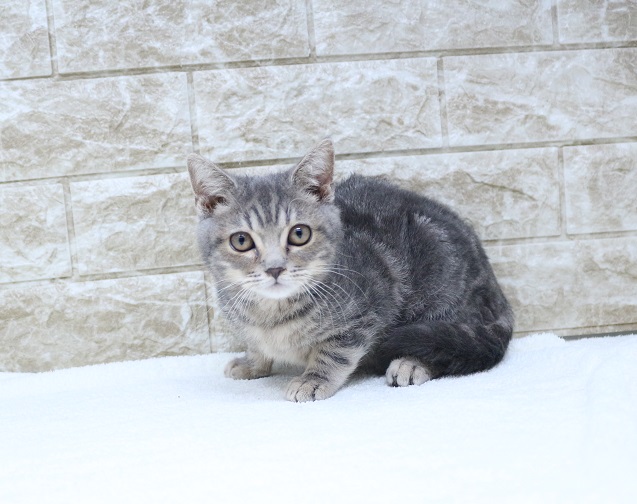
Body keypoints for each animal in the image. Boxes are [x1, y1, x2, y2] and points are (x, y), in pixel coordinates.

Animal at [186, 138, 516, 402]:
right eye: (241, 240)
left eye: (299, 234)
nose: (275, 268)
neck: (271, 315)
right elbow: (255, 344)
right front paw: (252, 362)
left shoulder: (370, 309)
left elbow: (336, 351)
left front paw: (314, 379)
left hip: (440, 282)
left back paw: (412, 363)